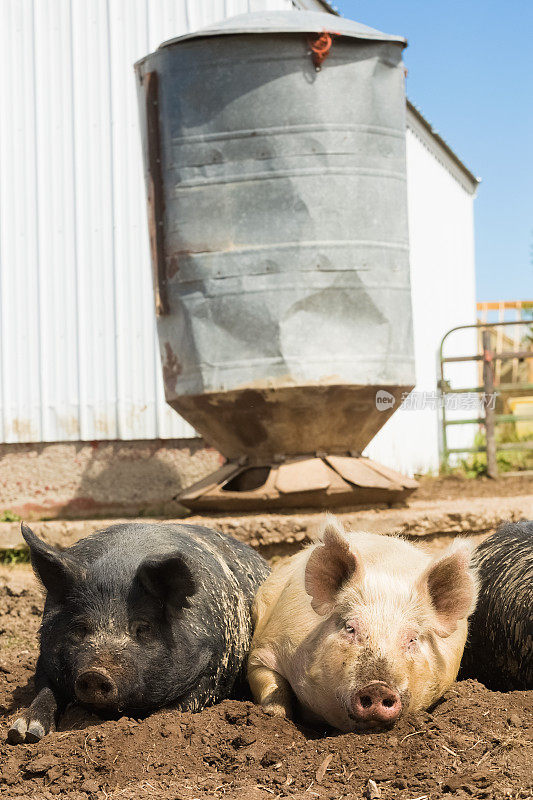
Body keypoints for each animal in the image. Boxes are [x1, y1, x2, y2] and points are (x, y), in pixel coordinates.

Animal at [9, 520, 270, 744]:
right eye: (81, 627)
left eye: (142, 628)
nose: (95, 674)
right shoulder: (45, 656)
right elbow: (45, 689)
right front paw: (23, 733)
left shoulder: (215, 666)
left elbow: (180, 705)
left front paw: (157, 724)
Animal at [247, 520, 476, 732]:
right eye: (350, 628)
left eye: (412, 638)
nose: (378, 688)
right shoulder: (265, 647)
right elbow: (269, 681)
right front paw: (276, 715)